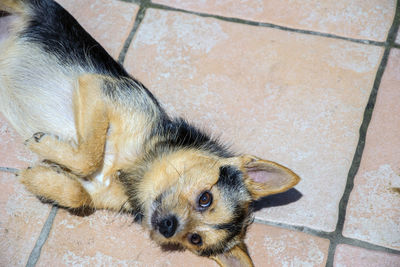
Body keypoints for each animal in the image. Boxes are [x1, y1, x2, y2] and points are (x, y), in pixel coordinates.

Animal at [0, 1, 300, 266]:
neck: (128, 169)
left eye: (195, 239)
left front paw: (40, 178)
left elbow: (79, 194)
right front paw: (42, 146)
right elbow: (89, 157)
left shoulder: (97, 190)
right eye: (206, 198)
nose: (168, 227)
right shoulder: (101, 89)